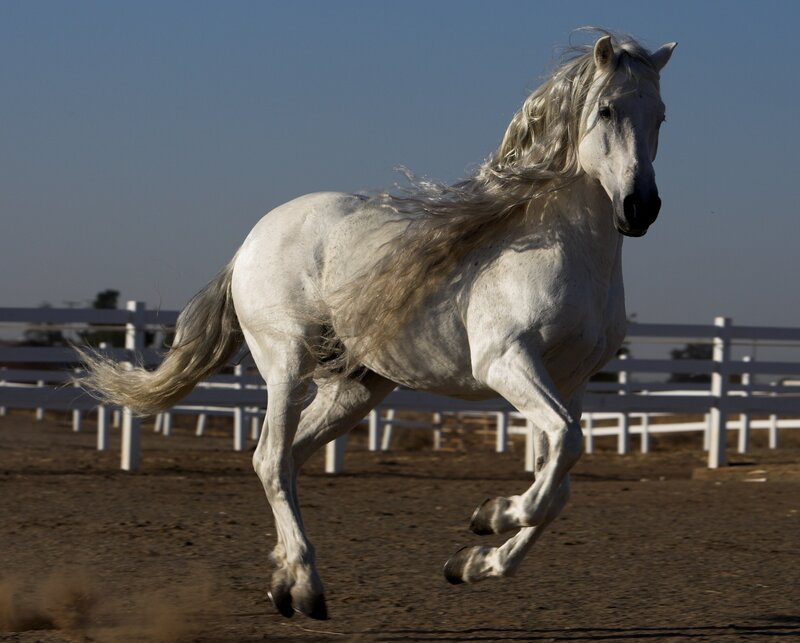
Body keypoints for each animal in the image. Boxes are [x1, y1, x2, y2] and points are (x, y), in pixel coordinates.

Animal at [80, 31, 676, 620]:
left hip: (356, 389)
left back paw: (284, 580)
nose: (640, 208)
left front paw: (474, 560)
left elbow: (560, 480)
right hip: (287, 364)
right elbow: (564, 455)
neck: (571, 254)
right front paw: (493, 516)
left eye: (662, 115)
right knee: (270, 459)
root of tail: (250, 243)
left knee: (290, 459)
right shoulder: (507, 361)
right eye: (607, 109)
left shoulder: (571, 383)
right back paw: (306, 586)